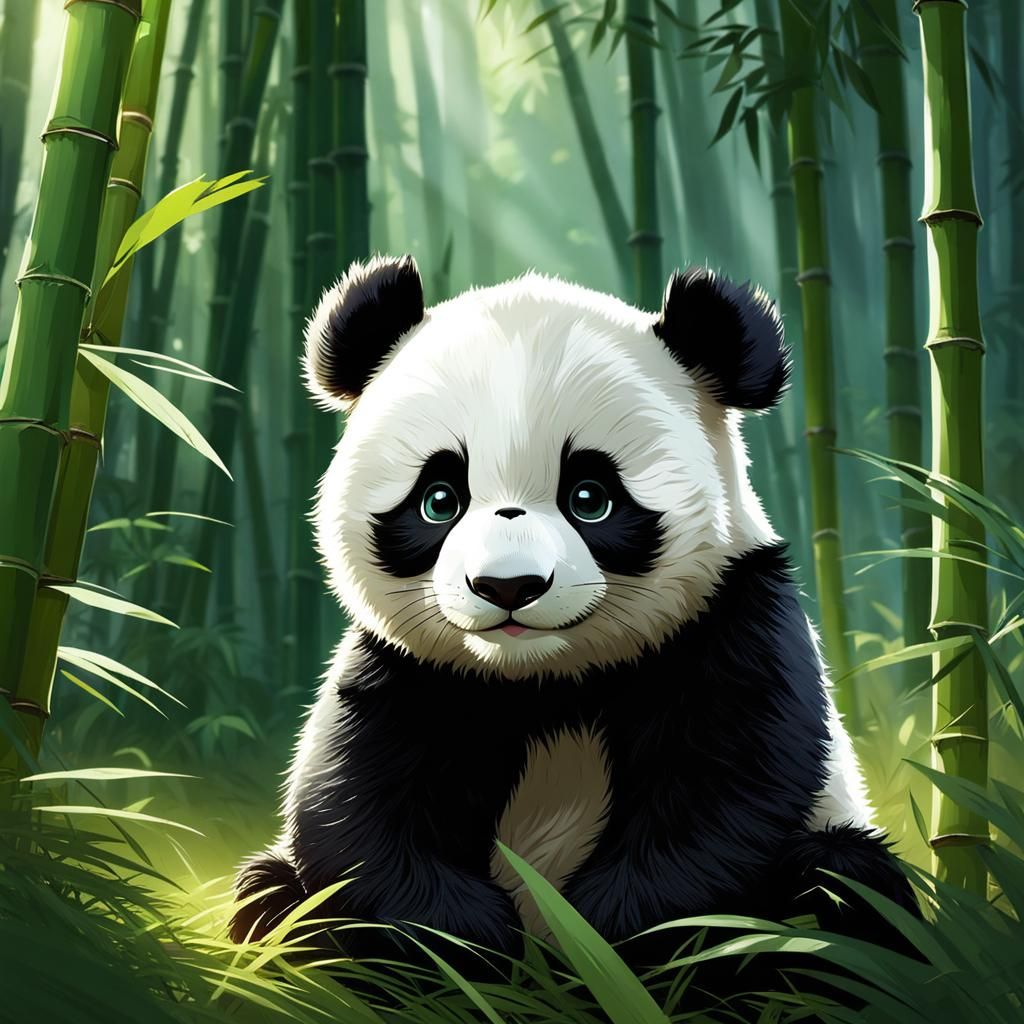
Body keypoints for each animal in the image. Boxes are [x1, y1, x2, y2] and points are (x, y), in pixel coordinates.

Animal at [231, 254, 918, 981]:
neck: (548, 679)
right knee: (273, 899)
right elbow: (358, 806)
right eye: (438, 499)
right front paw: (470, 947)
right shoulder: (410, 668)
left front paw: (600, 942)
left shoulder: (730, 620)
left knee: (842, 888)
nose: (508, 585)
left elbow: (725, 792)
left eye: (590, 497)